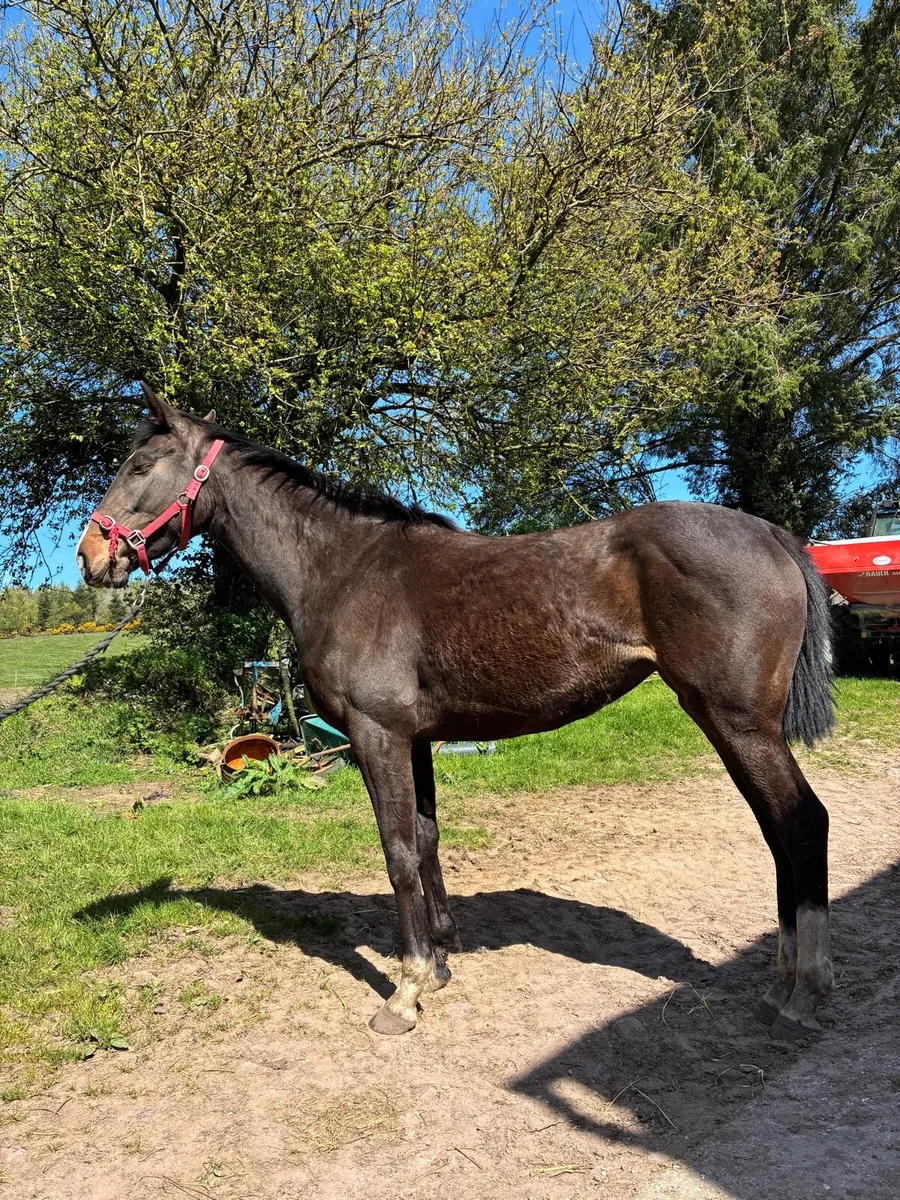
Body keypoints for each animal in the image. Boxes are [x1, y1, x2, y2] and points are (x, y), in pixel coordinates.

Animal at [77, 384, 835, 1039]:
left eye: (140, 464)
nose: (90, 556)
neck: (341, 571)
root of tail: (770, 534)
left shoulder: (376, 736)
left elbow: (396, 852)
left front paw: (406, 990)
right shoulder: (415, 741)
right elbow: (426, 840)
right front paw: (440, 962)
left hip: (736, 721)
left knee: (801, 822)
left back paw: (806, 990)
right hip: (731, 725)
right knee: (776, 828)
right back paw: (781, 979)